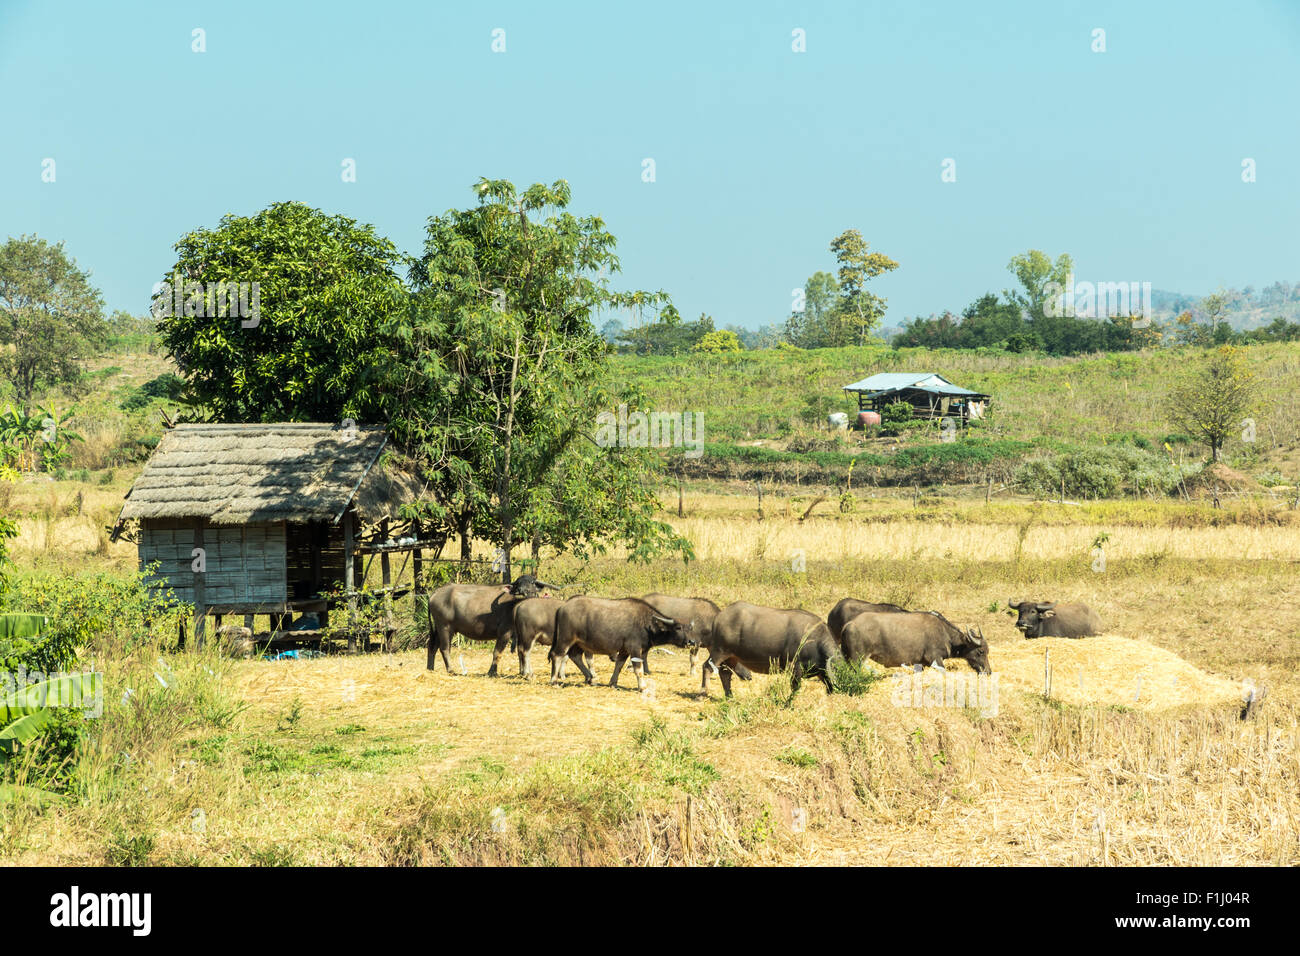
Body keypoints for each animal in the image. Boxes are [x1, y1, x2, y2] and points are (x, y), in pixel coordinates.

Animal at [550, 597, 691, 690]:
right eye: (678, 627)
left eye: (687, 627)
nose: (691, 641)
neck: (646, 624)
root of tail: (562, 608)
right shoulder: (635, 649)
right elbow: (638, 669)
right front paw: (642, 686)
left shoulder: (624, 650)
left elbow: (619, 665)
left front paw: (613, 683)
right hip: (565, 639)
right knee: (557, 655)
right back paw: (554, 681)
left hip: (578, 643)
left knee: (575, 657)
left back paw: (590, 678)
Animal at [702, 602, 839, 698]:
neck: (814, 639)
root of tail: (719, 617)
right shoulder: (795, 668)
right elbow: (795, 688)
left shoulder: (821, 672)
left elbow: (829, 686)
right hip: (719, 651)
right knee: (707, 667)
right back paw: (703, 693)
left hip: (731, 657)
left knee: (725, 673)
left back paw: (730, 696)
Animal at [840, 611, 990, 673]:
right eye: (981, 651)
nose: (988, 671)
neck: (944, 634)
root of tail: (850, 624)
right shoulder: (936, 659)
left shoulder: (920, 664)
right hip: (857, 660)